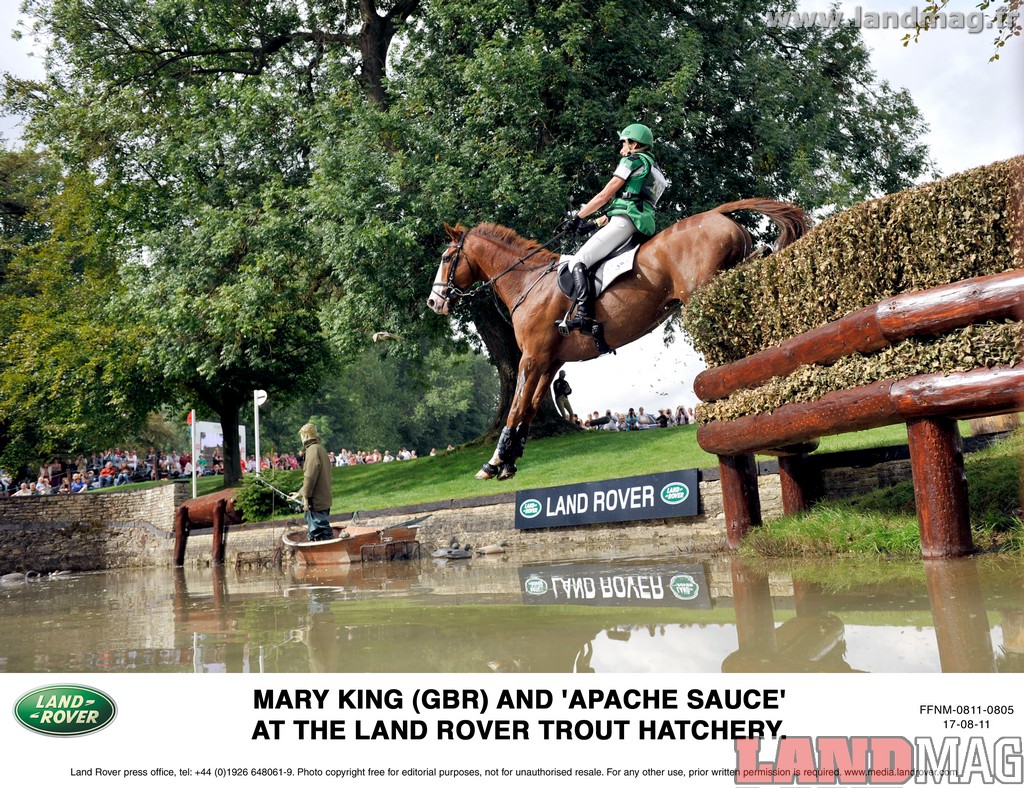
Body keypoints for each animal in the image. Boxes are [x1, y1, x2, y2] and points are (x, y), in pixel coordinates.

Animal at [427, 198, 810, 480]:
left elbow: (516, 407)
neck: (527, 283)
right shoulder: (549, 362)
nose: (434, 301)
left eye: (446, 257)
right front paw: (510, 459)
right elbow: (529, 407)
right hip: (729, 270)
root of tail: (717, 215)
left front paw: (492, 463)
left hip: (705, 290)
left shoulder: (532, 357)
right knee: (756, 270)